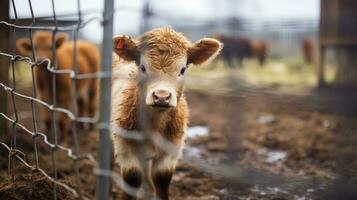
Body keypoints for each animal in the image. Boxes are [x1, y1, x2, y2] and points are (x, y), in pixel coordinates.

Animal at [111, 27, 221, 199]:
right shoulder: (125, 147)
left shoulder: (172, 149)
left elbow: (161, 179)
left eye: (182, 69)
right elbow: (132, 179)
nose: (161, 96)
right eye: (143, 67)